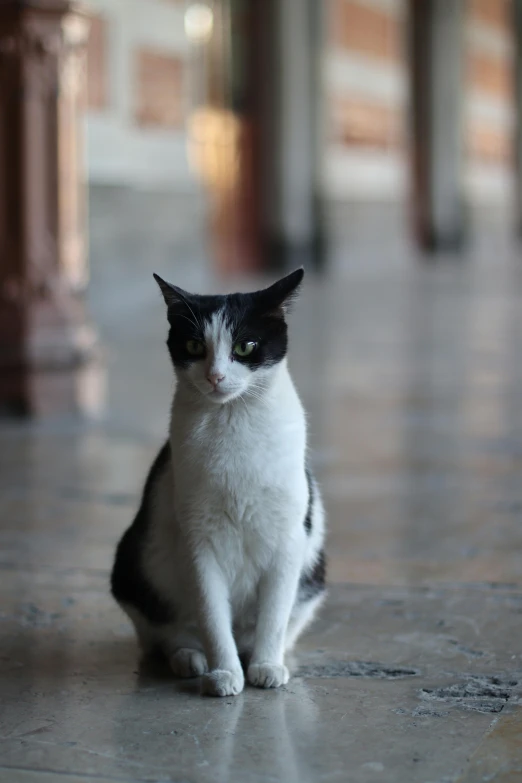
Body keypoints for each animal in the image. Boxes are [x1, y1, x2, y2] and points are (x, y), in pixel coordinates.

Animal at [110, 270, 324, 700]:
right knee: (169, 631)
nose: (216, 376)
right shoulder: (198, 540)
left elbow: (275, 615)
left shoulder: (289, 539)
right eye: (194, 345)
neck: (234, 421)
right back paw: (191, 659)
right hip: (134, 564)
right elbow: (211, 615)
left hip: (314, 573)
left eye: (245, 346)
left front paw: (266, 666)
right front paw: (224, 673)